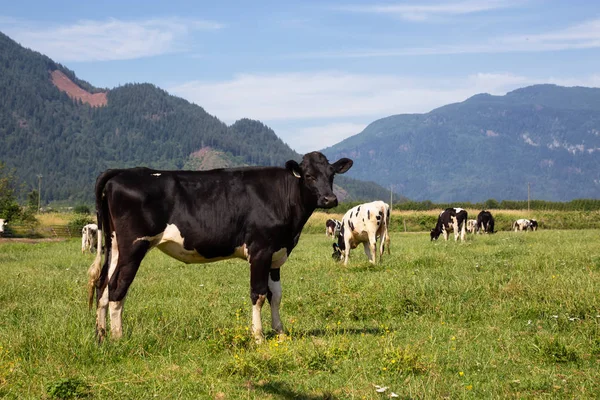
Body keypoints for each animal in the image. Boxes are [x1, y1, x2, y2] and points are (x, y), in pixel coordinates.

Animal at [86, 152, 354, 342]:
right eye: (308, 176)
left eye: (331, 174)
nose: (330, 199)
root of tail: (122, 173)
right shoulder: (260, 251)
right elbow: (258, 294)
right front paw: (258, 336)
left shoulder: (276, 254)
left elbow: (275, 295)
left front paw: (280, 333)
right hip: (134, 246)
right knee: (116, 287)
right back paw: (118, 338)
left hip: (115, 245)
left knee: (102, 286)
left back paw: (101, 336)